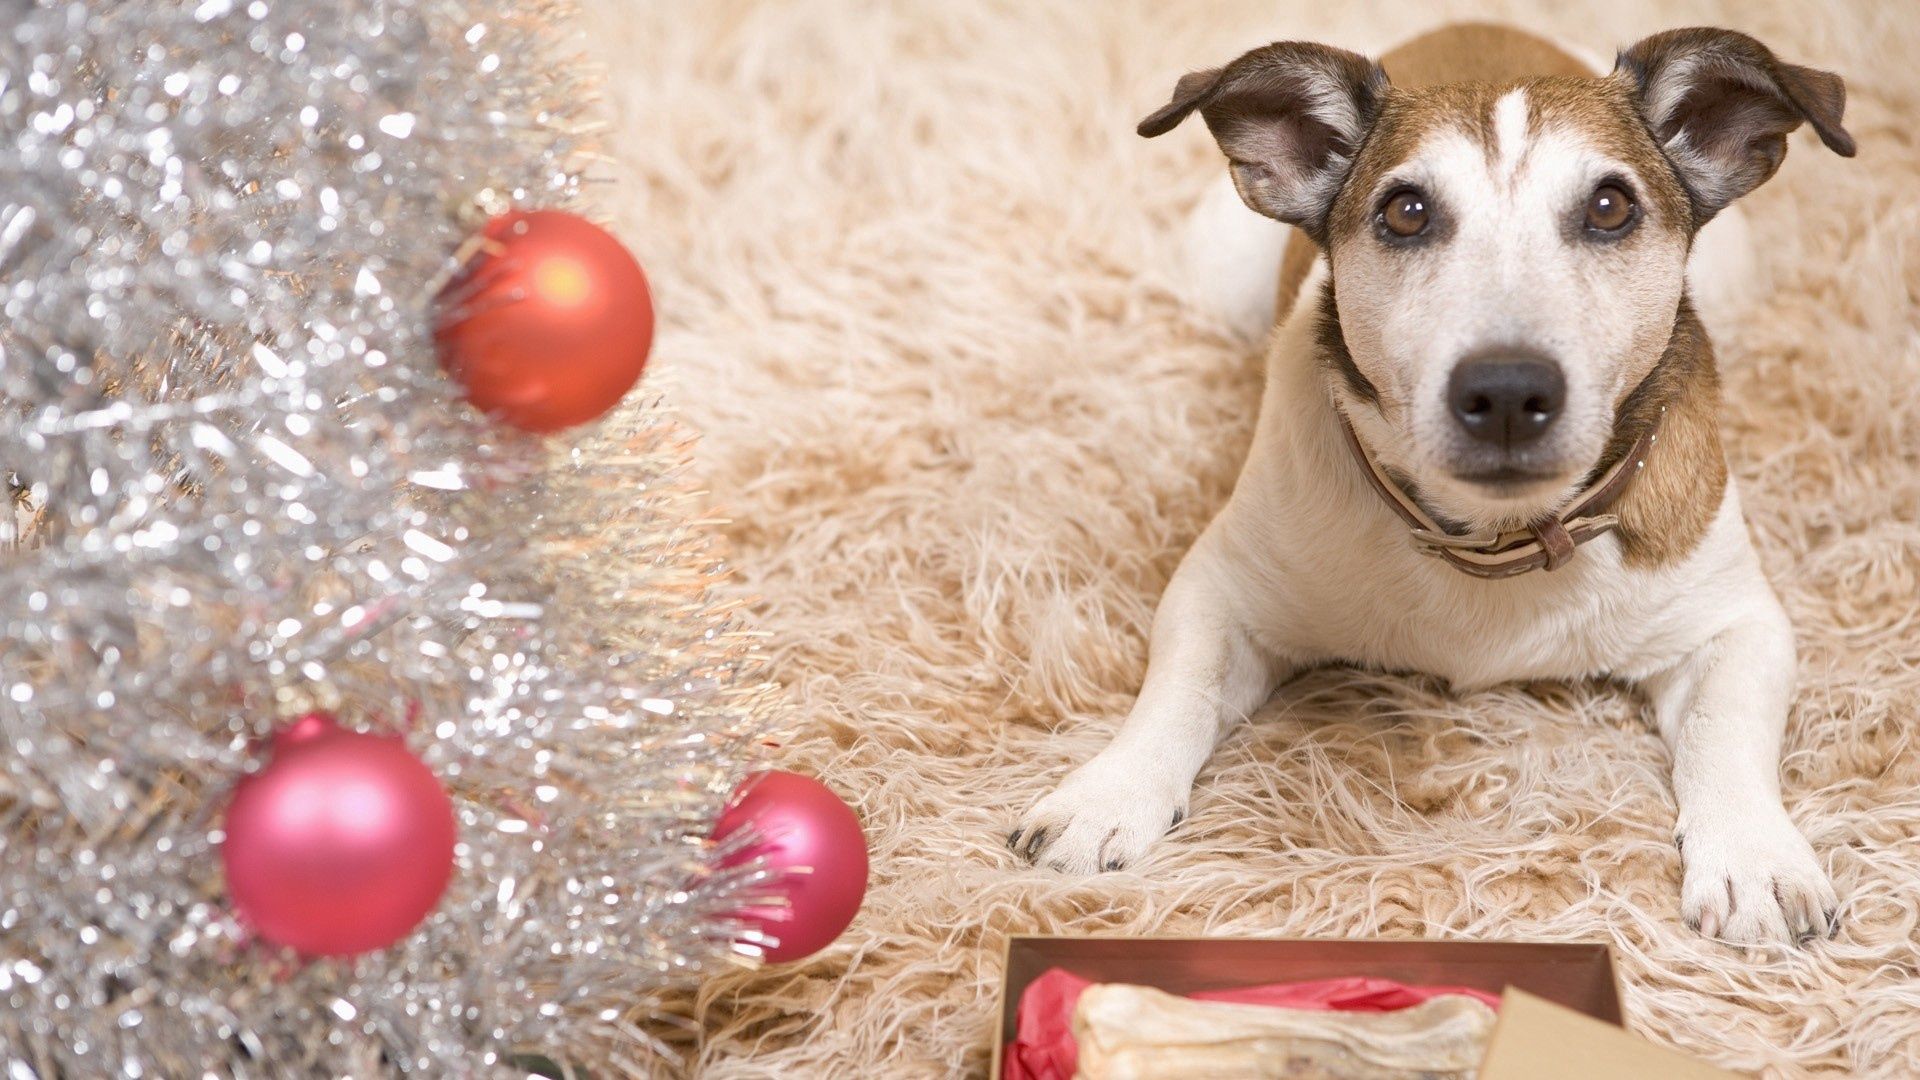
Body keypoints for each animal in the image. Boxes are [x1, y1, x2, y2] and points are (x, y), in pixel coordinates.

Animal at [1013, 21, 1850, 937]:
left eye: (1610, 207)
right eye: (1406, 212)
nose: (1509, 390)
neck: (1491, 539)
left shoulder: (1735, 621)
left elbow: (1725, 725)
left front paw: (1753, 854)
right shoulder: (1222, 586)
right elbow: (1180, 687)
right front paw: (1111, 791)